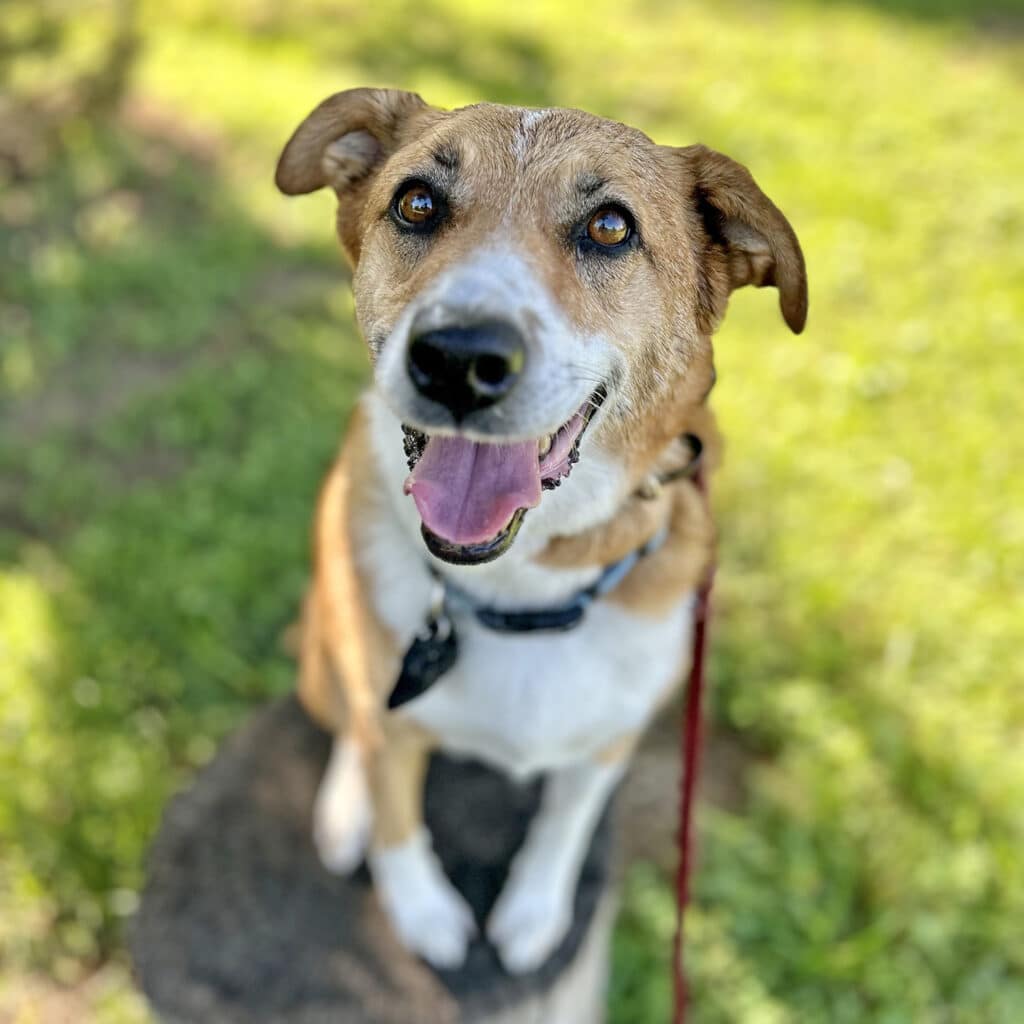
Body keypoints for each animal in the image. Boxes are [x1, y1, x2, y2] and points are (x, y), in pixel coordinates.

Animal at [274, 90, 806, 974]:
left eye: (611, 227)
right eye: (416, 203)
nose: (458, 358)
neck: (522, 590)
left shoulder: (612, 739)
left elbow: (566, 821)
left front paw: (534, 912)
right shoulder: (385, 698)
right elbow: (394, 802)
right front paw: (421, 910)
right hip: (325, 637)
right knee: (348, 720)